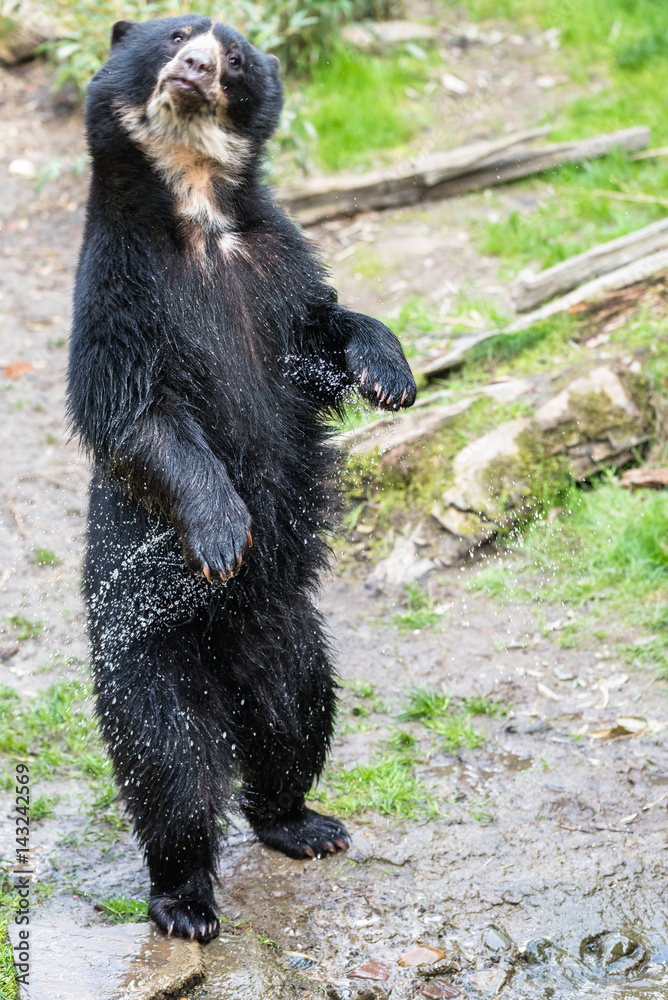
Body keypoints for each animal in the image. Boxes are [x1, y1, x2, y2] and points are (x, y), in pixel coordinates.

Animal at [67, 14, 416, 943]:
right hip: (147, 663)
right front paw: (225, 532)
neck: (199, 209)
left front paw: (391, 378)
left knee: (295, 726)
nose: (194, 66)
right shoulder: (121, 287)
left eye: (230, 52)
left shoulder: (277, 261)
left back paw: (305, 824)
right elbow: (138, 413)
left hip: (293, 645)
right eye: (174, 36)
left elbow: (327, 324)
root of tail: (228, 673)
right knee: (173, 773)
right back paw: (185, 901)